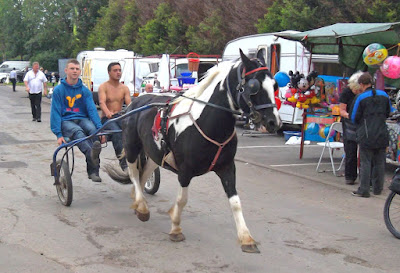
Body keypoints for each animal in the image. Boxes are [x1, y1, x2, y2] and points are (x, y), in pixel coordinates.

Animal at [104, 49, 282, 253]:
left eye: (274, 84)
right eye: (253, 86)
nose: (274, 122)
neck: (207, 122)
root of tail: (135, 102)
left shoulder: (227, 167)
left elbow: (236, 203)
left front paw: (246, 239)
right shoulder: (185, 171)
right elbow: (182, 199)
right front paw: (175, 228)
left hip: (154, 154)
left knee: (143, 175)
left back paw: (137, 201)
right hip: (132, 147)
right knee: (134, 173)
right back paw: (141, 207)